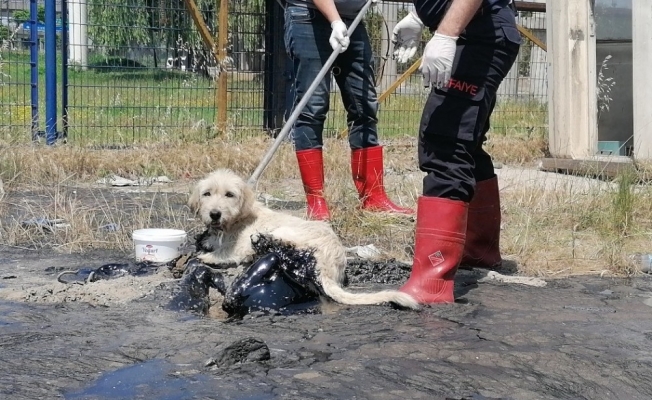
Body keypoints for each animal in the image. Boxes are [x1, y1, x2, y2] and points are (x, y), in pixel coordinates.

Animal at [187, 168, 419, 310]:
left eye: (229, 194)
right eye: (207, 193)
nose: (214, 214)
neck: (235, 222)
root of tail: (329, 267)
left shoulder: (237, 248)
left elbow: (224, 253)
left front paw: (206, 255)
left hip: (288, 232)